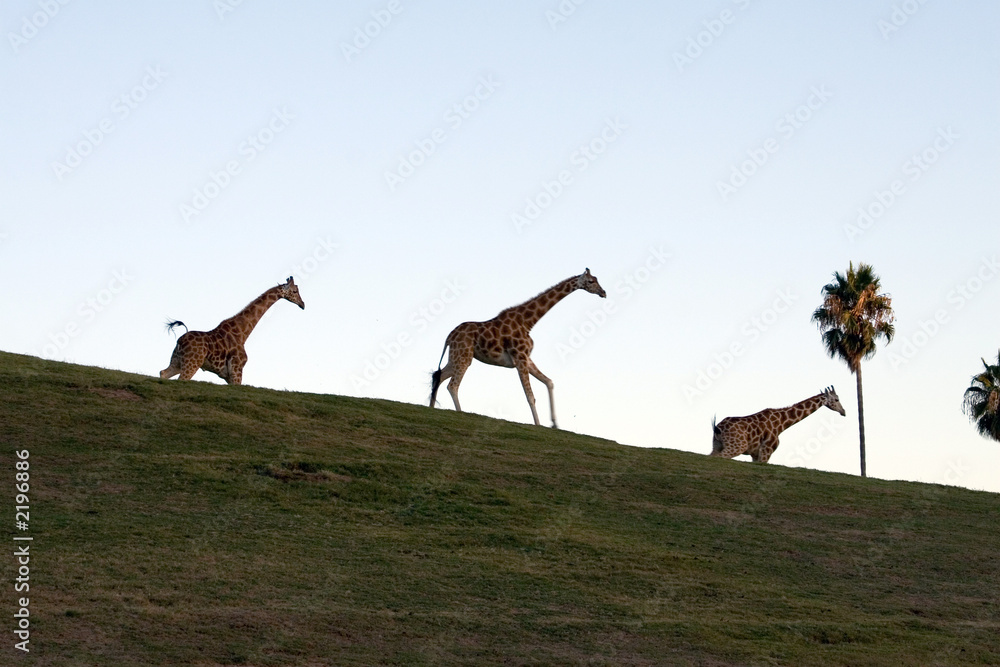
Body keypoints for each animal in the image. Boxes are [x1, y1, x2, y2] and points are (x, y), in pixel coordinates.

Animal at [159, 277, 304, 385]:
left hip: (177, 361)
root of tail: (180, 340)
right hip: (192, 363)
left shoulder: (228, 376)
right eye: (295, 291)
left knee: (163, 373)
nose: (302, 304)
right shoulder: (237, 371)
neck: (242, 334)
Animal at [429, 268, 606, 428]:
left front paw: (555, 423)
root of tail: (449, 337)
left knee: (439, 376)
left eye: (597, 279)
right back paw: (460, 413)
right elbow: (530, 396)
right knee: (452, 385)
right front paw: (538, 424)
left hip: (456, 357)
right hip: (464, 356)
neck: (528, 322)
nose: (603, 292)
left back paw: (431, 409)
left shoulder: (526, 358)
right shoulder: (520, 358)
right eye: (591, 281)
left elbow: (549, 382)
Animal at [710, 386, 846, 463]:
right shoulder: (766, 451)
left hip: (717, 445)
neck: (781, 424)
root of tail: (718, 428)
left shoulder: (756, 454)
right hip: (737, 446)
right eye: (837, 399)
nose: (843, 412)